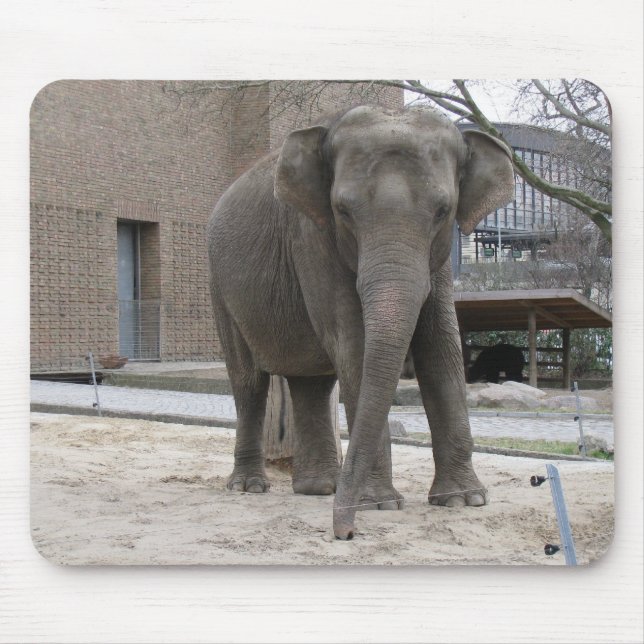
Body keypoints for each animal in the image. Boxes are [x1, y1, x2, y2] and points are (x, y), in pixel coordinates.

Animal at [207, 104, 515, 540]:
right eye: (343, 212)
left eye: (443, 212)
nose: (345, 532)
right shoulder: (311, 237)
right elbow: (355, 344)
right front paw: (380, 505)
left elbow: (441, 346)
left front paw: (463, 500)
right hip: (220, 289)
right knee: (249, 382)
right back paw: (250, 487)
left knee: (311, 383)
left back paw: (320, 489)